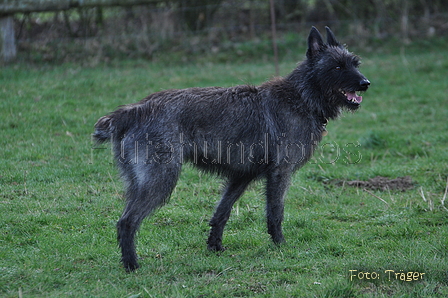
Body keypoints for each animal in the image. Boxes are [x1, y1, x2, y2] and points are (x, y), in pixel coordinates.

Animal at [93, 26, 370, 272]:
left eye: (354, 63)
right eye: (337, 66)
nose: (365, 83)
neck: (302, 97)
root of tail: (136, 109)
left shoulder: (241, 176)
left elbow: (221, 213)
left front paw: (214, 246)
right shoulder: (280, 173)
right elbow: (275, 212)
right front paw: (280, 245)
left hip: (141, 183)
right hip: (161, 181)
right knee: (127, 221)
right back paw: (132, 265)